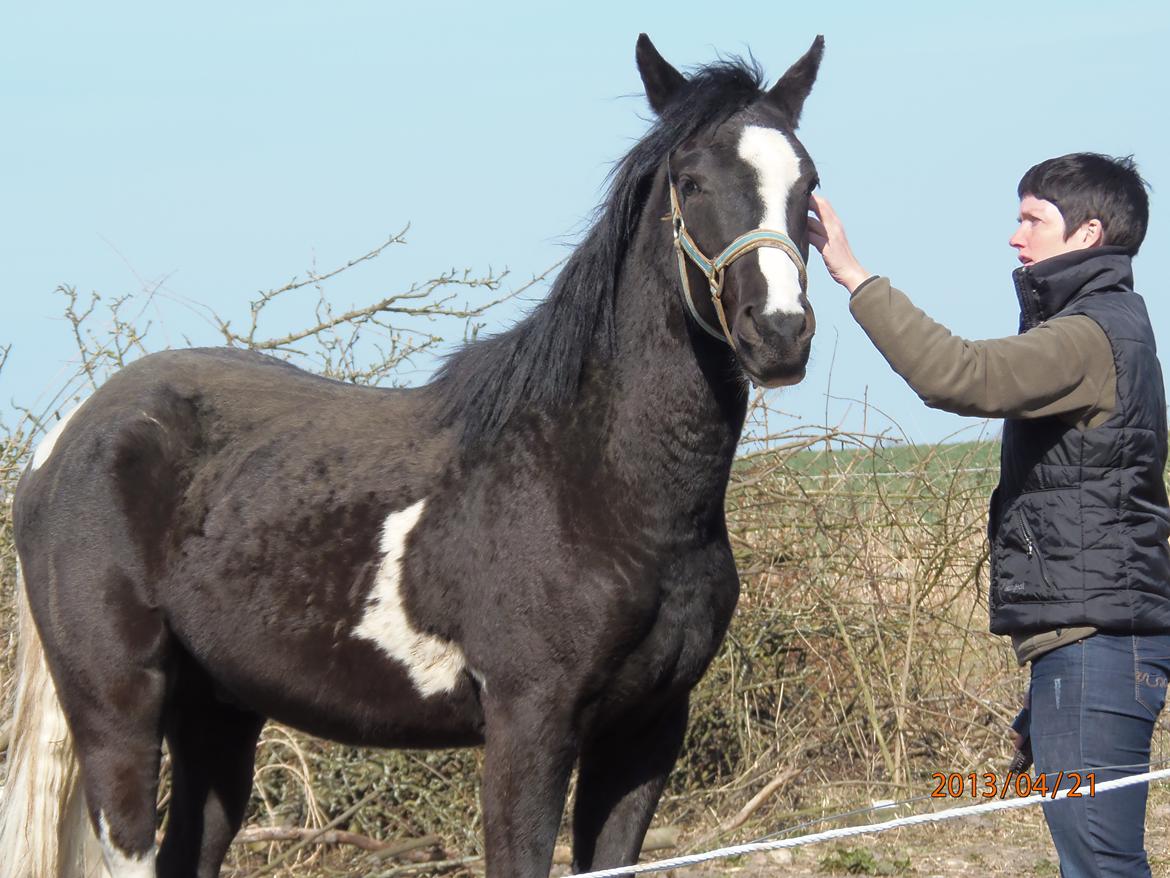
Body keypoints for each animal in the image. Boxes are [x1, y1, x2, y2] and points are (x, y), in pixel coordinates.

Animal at [0, 34, 823, 878]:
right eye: (691, 181)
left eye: (808, 183)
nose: (780, 331)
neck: (598, 482)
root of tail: (65, 437)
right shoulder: (529, 724)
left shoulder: (646, 733)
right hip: (118, 707)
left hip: (218, 711)